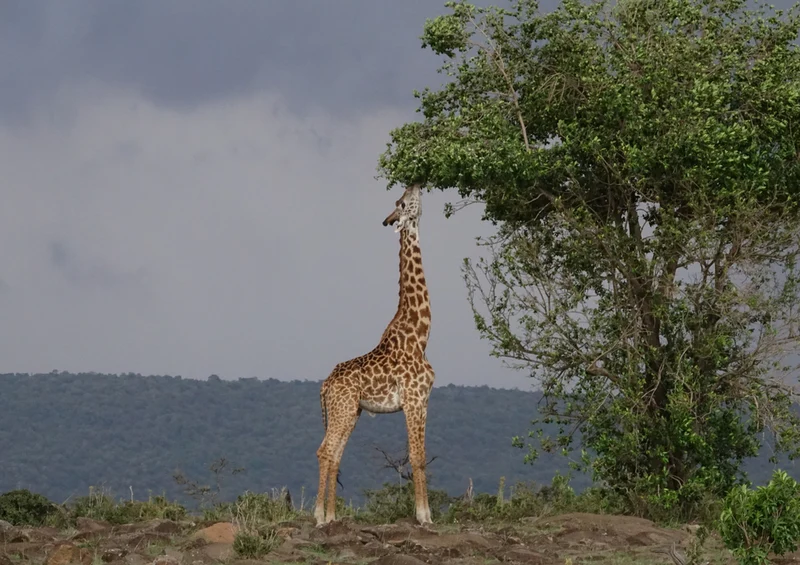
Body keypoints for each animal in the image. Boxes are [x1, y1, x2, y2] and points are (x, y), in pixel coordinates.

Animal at [314, 183, 435, 526]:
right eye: (402, 203)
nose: (416, 183)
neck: (421, 335)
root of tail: (324, 385)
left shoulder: (423, 400)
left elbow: (420, 456)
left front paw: (426, 514)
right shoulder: (414, 399)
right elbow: (417, 456)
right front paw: (424, 516)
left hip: (348, 411)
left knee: (334, 453)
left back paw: (332, 516)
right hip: (343, 411)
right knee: (326, 451)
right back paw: (319, 516)